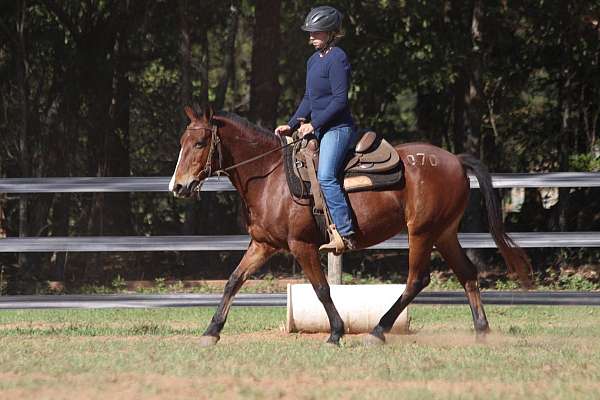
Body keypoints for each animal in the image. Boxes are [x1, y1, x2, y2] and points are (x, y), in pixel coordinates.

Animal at [168, 105, 528, 346]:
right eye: (182, 141)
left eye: (200, 144)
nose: (178, 186)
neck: (270, 176)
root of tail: (455, 159)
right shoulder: (263, 244)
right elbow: (233, 281)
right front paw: (211, 332)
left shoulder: (302, 245)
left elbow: (321, 289)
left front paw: (336, 333)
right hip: (444, 232)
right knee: (467, 274)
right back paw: (482, 331)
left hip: (422, 232)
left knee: (417, 280)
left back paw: (378, 332)